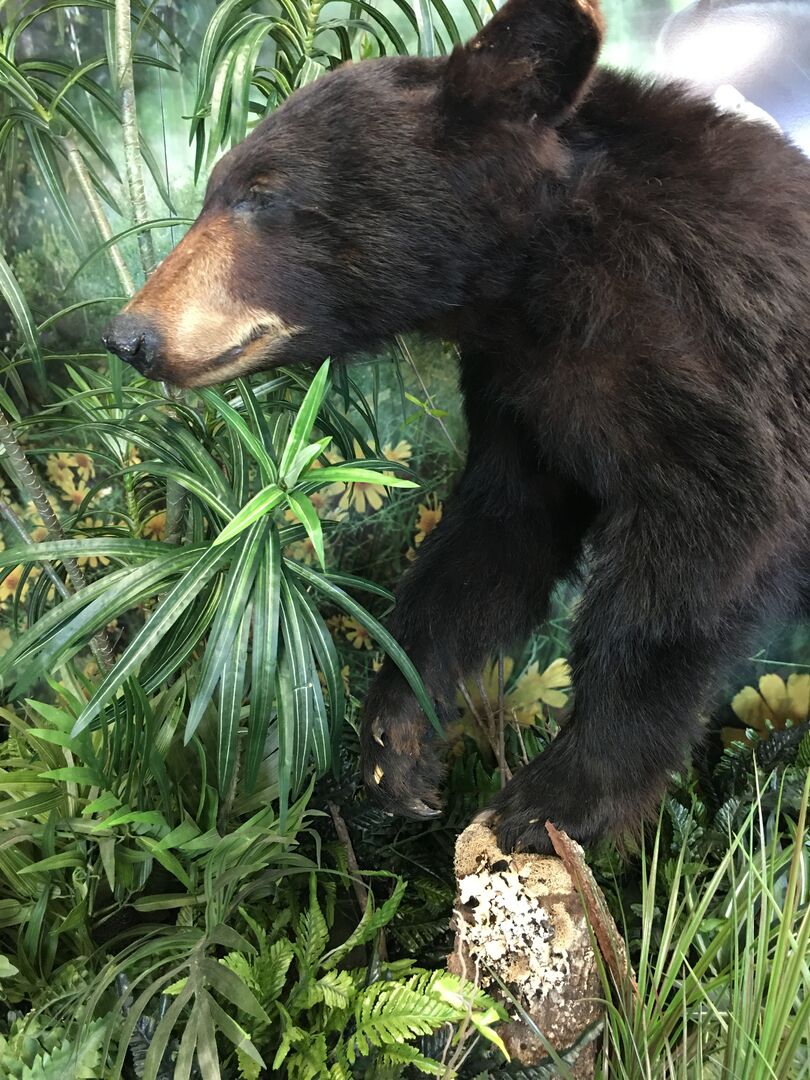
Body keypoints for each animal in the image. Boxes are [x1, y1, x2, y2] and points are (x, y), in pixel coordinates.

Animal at [104, 0, 810, 851]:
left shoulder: (724, 365)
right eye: (217, 187)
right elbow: (491, 540)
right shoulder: (522, 397)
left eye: (260, 193)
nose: (130, 335)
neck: (541, 281)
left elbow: (699, 559)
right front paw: (397, 744)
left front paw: (556, 796)